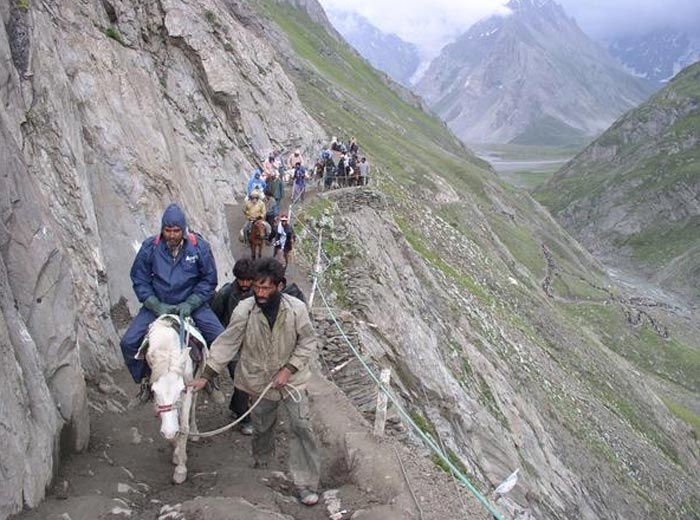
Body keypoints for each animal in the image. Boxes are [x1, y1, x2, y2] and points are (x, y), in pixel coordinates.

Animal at [141, 314, 204, 486]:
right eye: (153, 391)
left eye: (181, 389)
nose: (169, 431)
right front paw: (176, 452)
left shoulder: (187, 390)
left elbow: (184, 428)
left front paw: (181, 469)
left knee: (193, 406)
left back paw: (195, 432)